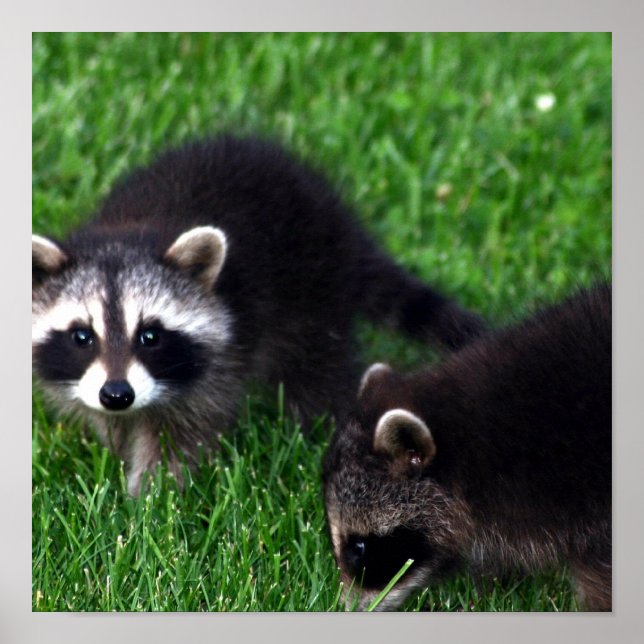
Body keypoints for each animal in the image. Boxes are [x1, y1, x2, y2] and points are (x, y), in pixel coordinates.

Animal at [32, 135, 485, 495]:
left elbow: (182, 435)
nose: (117, 395)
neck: (130, 231)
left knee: (317, 372)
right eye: (81, 336)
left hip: (313, 296)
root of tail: (347, 234)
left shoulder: (218, 367)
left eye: (150, 336)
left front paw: (151, 496)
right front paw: (115, 445)